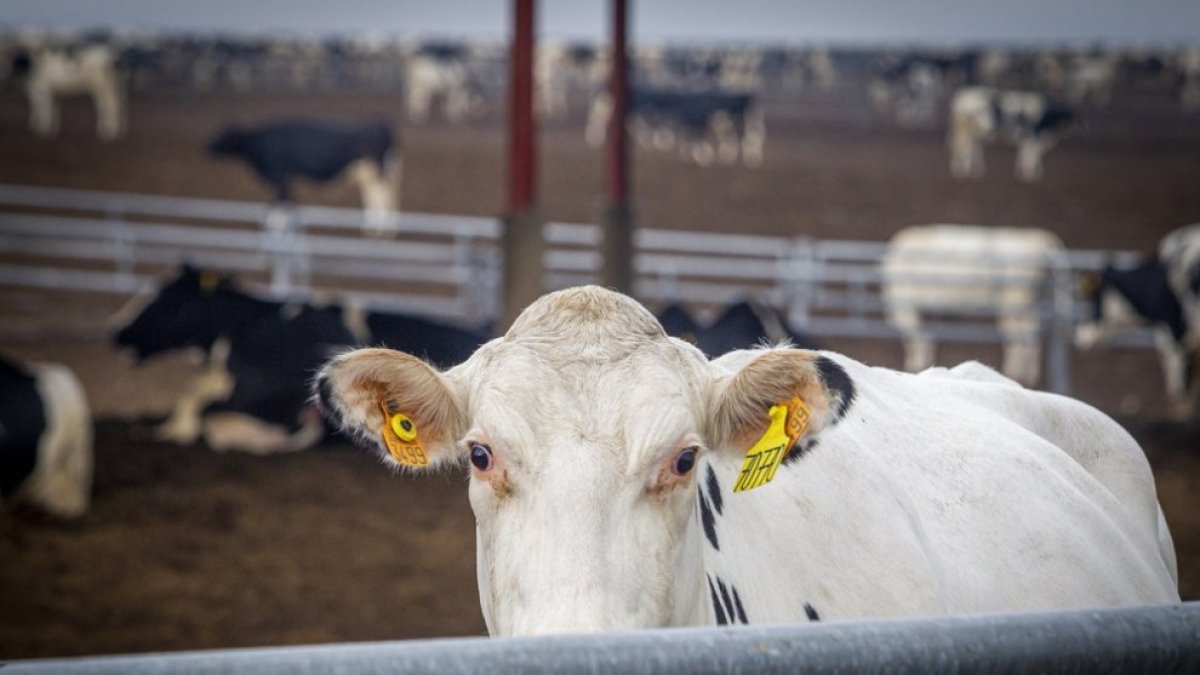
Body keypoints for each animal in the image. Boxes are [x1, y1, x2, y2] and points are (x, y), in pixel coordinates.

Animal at [208, 120, 401, 236]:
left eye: (223, 138)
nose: (206, 147)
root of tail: (381, 125)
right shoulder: (286, 176)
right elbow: (288, 201)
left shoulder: (278, 175)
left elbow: (280, 201)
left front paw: (275, 228)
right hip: (373, 176)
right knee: (378, 197)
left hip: (377, 175)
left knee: (380, 197)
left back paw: (380, 230)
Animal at [948, 85, 1078, 182]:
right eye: (1068, 117)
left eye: (1073, 117)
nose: (1073, 128)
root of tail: (962, 95)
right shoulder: (1031, 137)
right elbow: (1030, 155)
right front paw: (1030, 175)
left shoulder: (1030, 138)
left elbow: (1027, 154)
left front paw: (1025, 173)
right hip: (965, 131)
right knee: (963, 148)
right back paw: (962, 171)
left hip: (975, 133)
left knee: (971, 149)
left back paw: (974, 171)